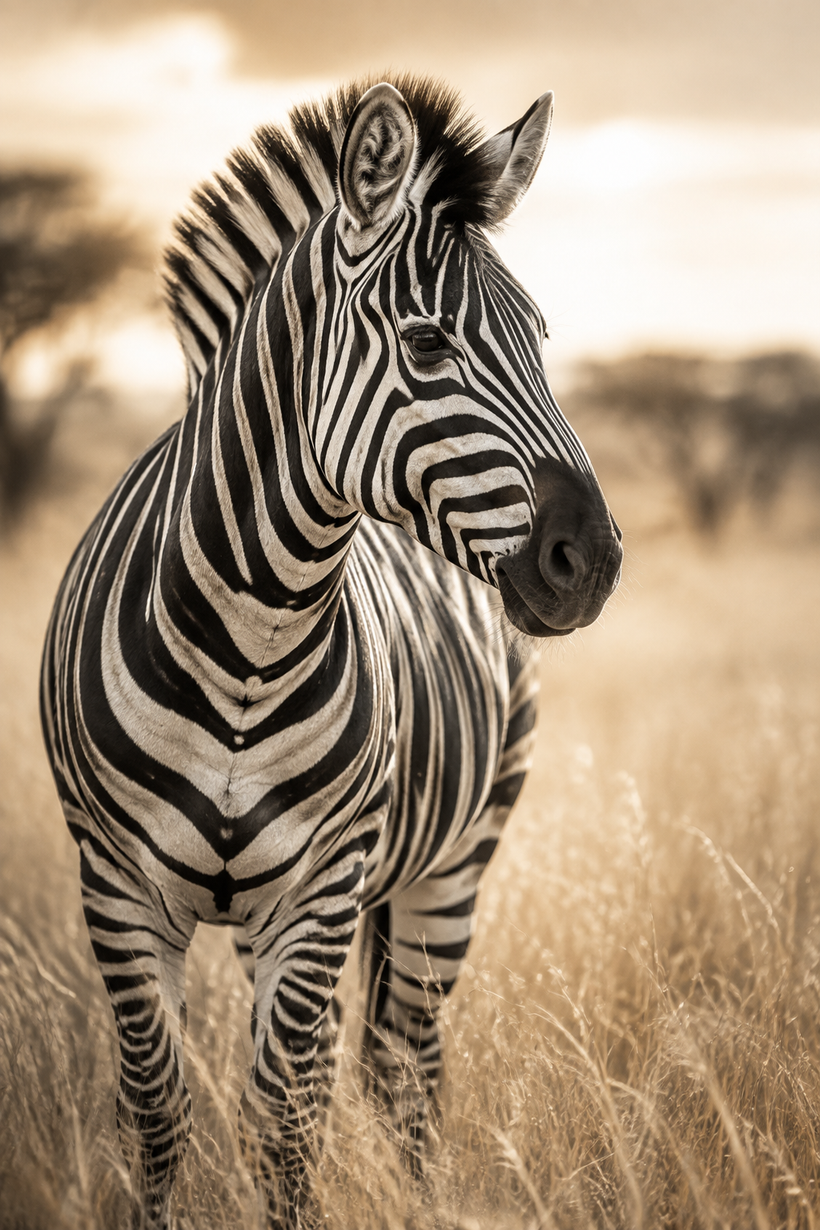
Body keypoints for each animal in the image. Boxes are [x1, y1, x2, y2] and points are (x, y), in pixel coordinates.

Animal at [40, 76, 622, 1228]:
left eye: (543, 337)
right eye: (428, 346)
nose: (595, 560)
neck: (251, 636)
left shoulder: (321, 891)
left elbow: (286, 1123)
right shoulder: (115, 887)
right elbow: (158, 1109)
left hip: (456, 858)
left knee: (405, 1064)